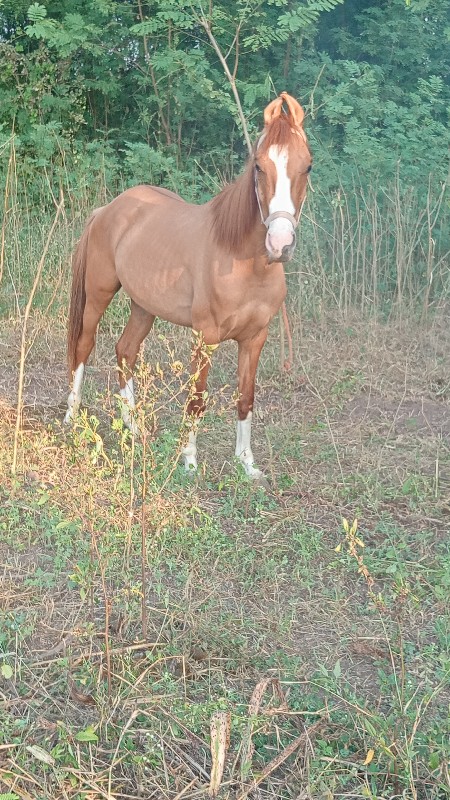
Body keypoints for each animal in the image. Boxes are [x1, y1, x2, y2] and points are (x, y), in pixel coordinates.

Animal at [65, 90, 312, 478]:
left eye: (308, 166)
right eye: (259, 166)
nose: (280, 243)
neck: (244, 263)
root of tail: (109, 208)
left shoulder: (255, 338)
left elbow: (246, 397)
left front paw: (247, 463)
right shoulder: (205, 337)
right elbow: (197, 398)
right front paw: (189, 461)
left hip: (144, 307)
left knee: (125, 351)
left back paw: (134, 427)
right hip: (98, 294)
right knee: (83, 347)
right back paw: (72, 417)